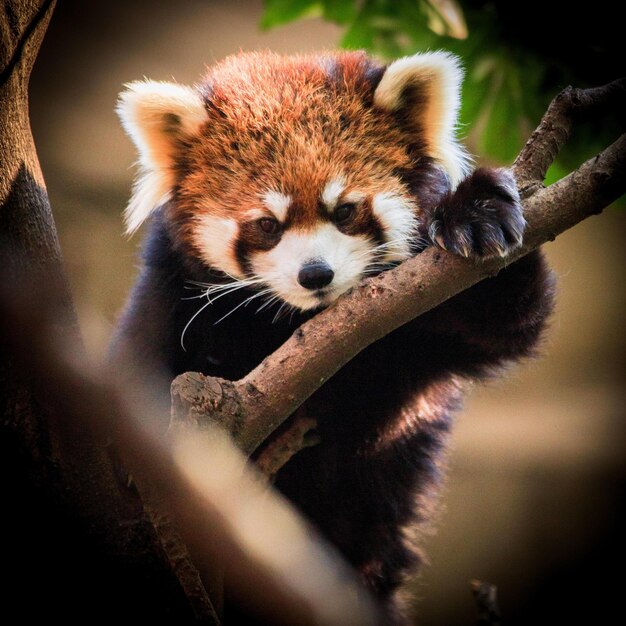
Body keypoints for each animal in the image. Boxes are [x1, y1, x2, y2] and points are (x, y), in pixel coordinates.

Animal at [109, 51, 552, 620]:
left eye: (344, 210)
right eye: (267, 225)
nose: (315, 275)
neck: (294, 324)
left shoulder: (420, 342)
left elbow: (506, 323)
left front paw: (477, 213)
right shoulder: (169, 298)